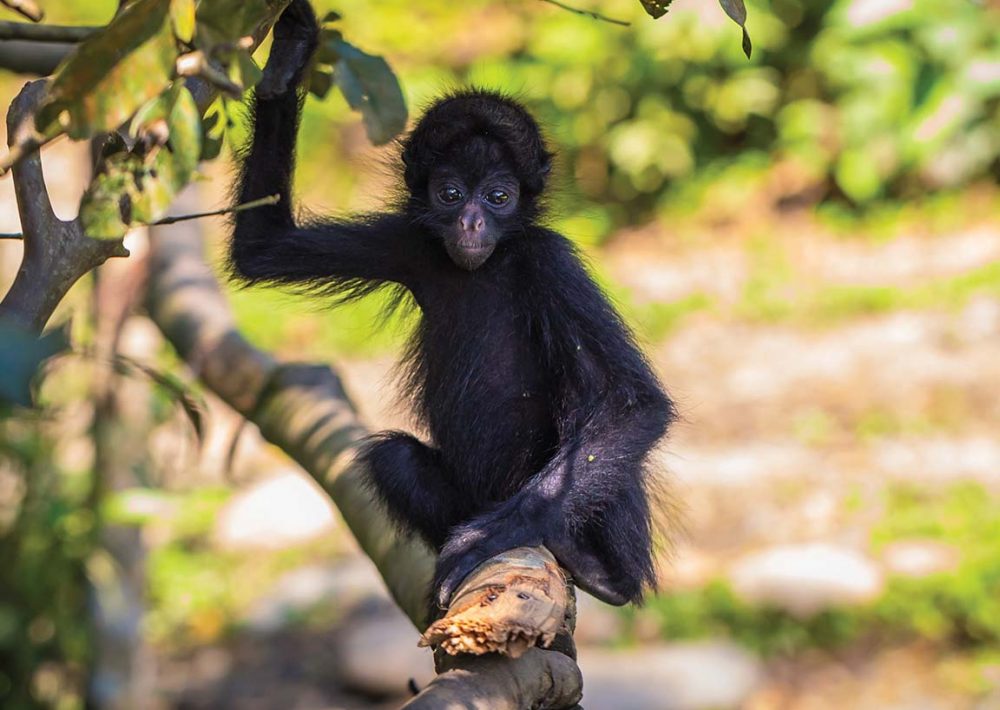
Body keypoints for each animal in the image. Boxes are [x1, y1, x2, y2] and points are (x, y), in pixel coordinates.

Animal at [230, 0, 676, 612]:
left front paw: (490, 538)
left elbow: (632, 403)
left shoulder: (548, 259)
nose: (470, 223)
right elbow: (261, 245)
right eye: (450, 194)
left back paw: (599, 571)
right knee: (392, 457)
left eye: (498, 197)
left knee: (586, 405)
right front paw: (289, 58)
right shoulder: (409, 243)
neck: (483, 267)